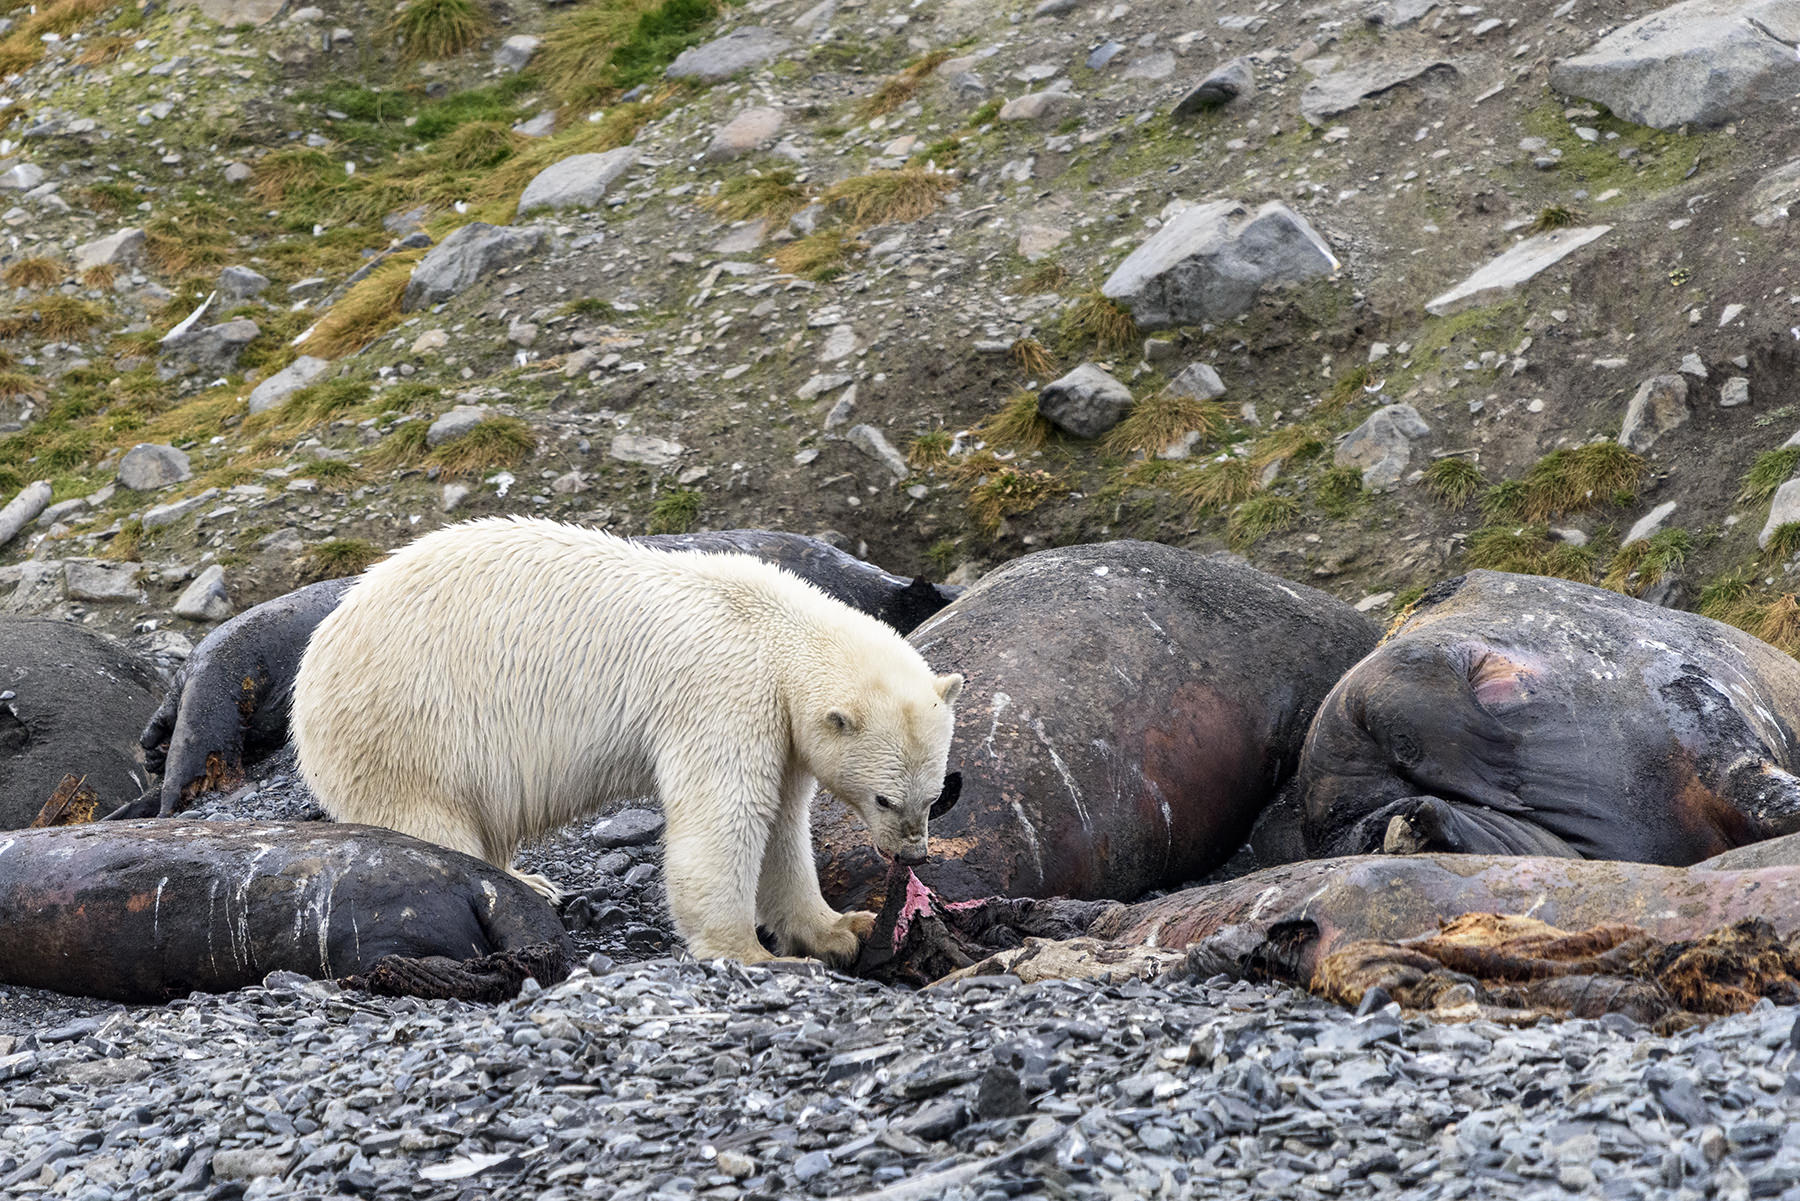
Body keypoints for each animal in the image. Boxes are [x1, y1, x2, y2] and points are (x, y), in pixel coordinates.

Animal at [291, 518, 972, 965]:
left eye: (935, 796)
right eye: (885, 799)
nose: (912, 855)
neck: (776, 629)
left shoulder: (778, 723)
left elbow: (783, 821)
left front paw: (842, 928)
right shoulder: (724, 692)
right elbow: (729, 813)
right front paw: (751, 954)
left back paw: (532, 881)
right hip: (410, 729)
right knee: (432, 824)